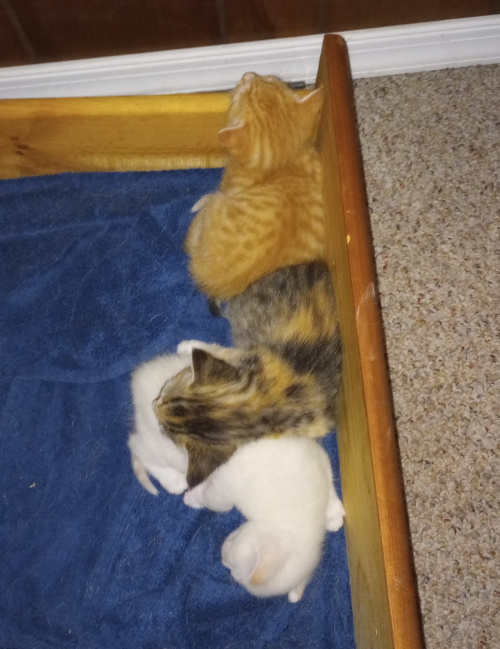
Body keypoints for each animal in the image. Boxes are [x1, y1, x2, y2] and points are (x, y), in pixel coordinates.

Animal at [153, 258, 340, 486]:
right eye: (162, 393)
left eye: (163, 429)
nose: (153, 404)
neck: (265, 404)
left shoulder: (246, 355)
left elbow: (219, 350)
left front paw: (187, 346)